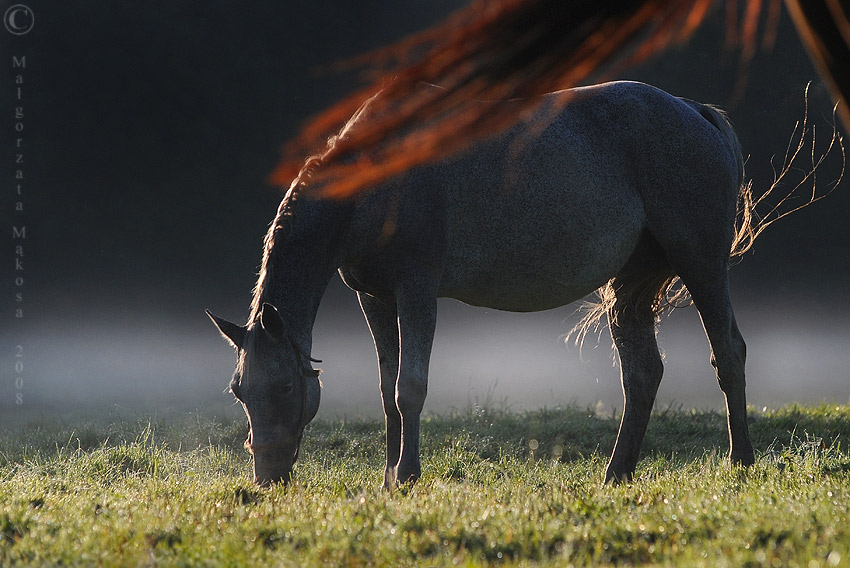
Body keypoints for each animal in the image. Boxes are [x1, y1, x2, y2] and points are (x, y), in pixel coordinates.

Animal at [210, 81, 756, 488]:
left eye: (285, 385)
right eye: (238, 391)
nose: (267, 476)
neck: (373, 183)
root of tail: (696, 111)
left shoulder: (416, 288)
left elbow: (410, 387)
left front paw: (407, 475)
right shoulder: (374, 297)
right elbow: (388, 390)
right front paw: (388, 478)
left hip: (701, 262)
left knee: (728, 353)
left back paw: (741, 461)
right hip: (629, 285)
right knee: (642, 374)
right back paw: (616, 473)